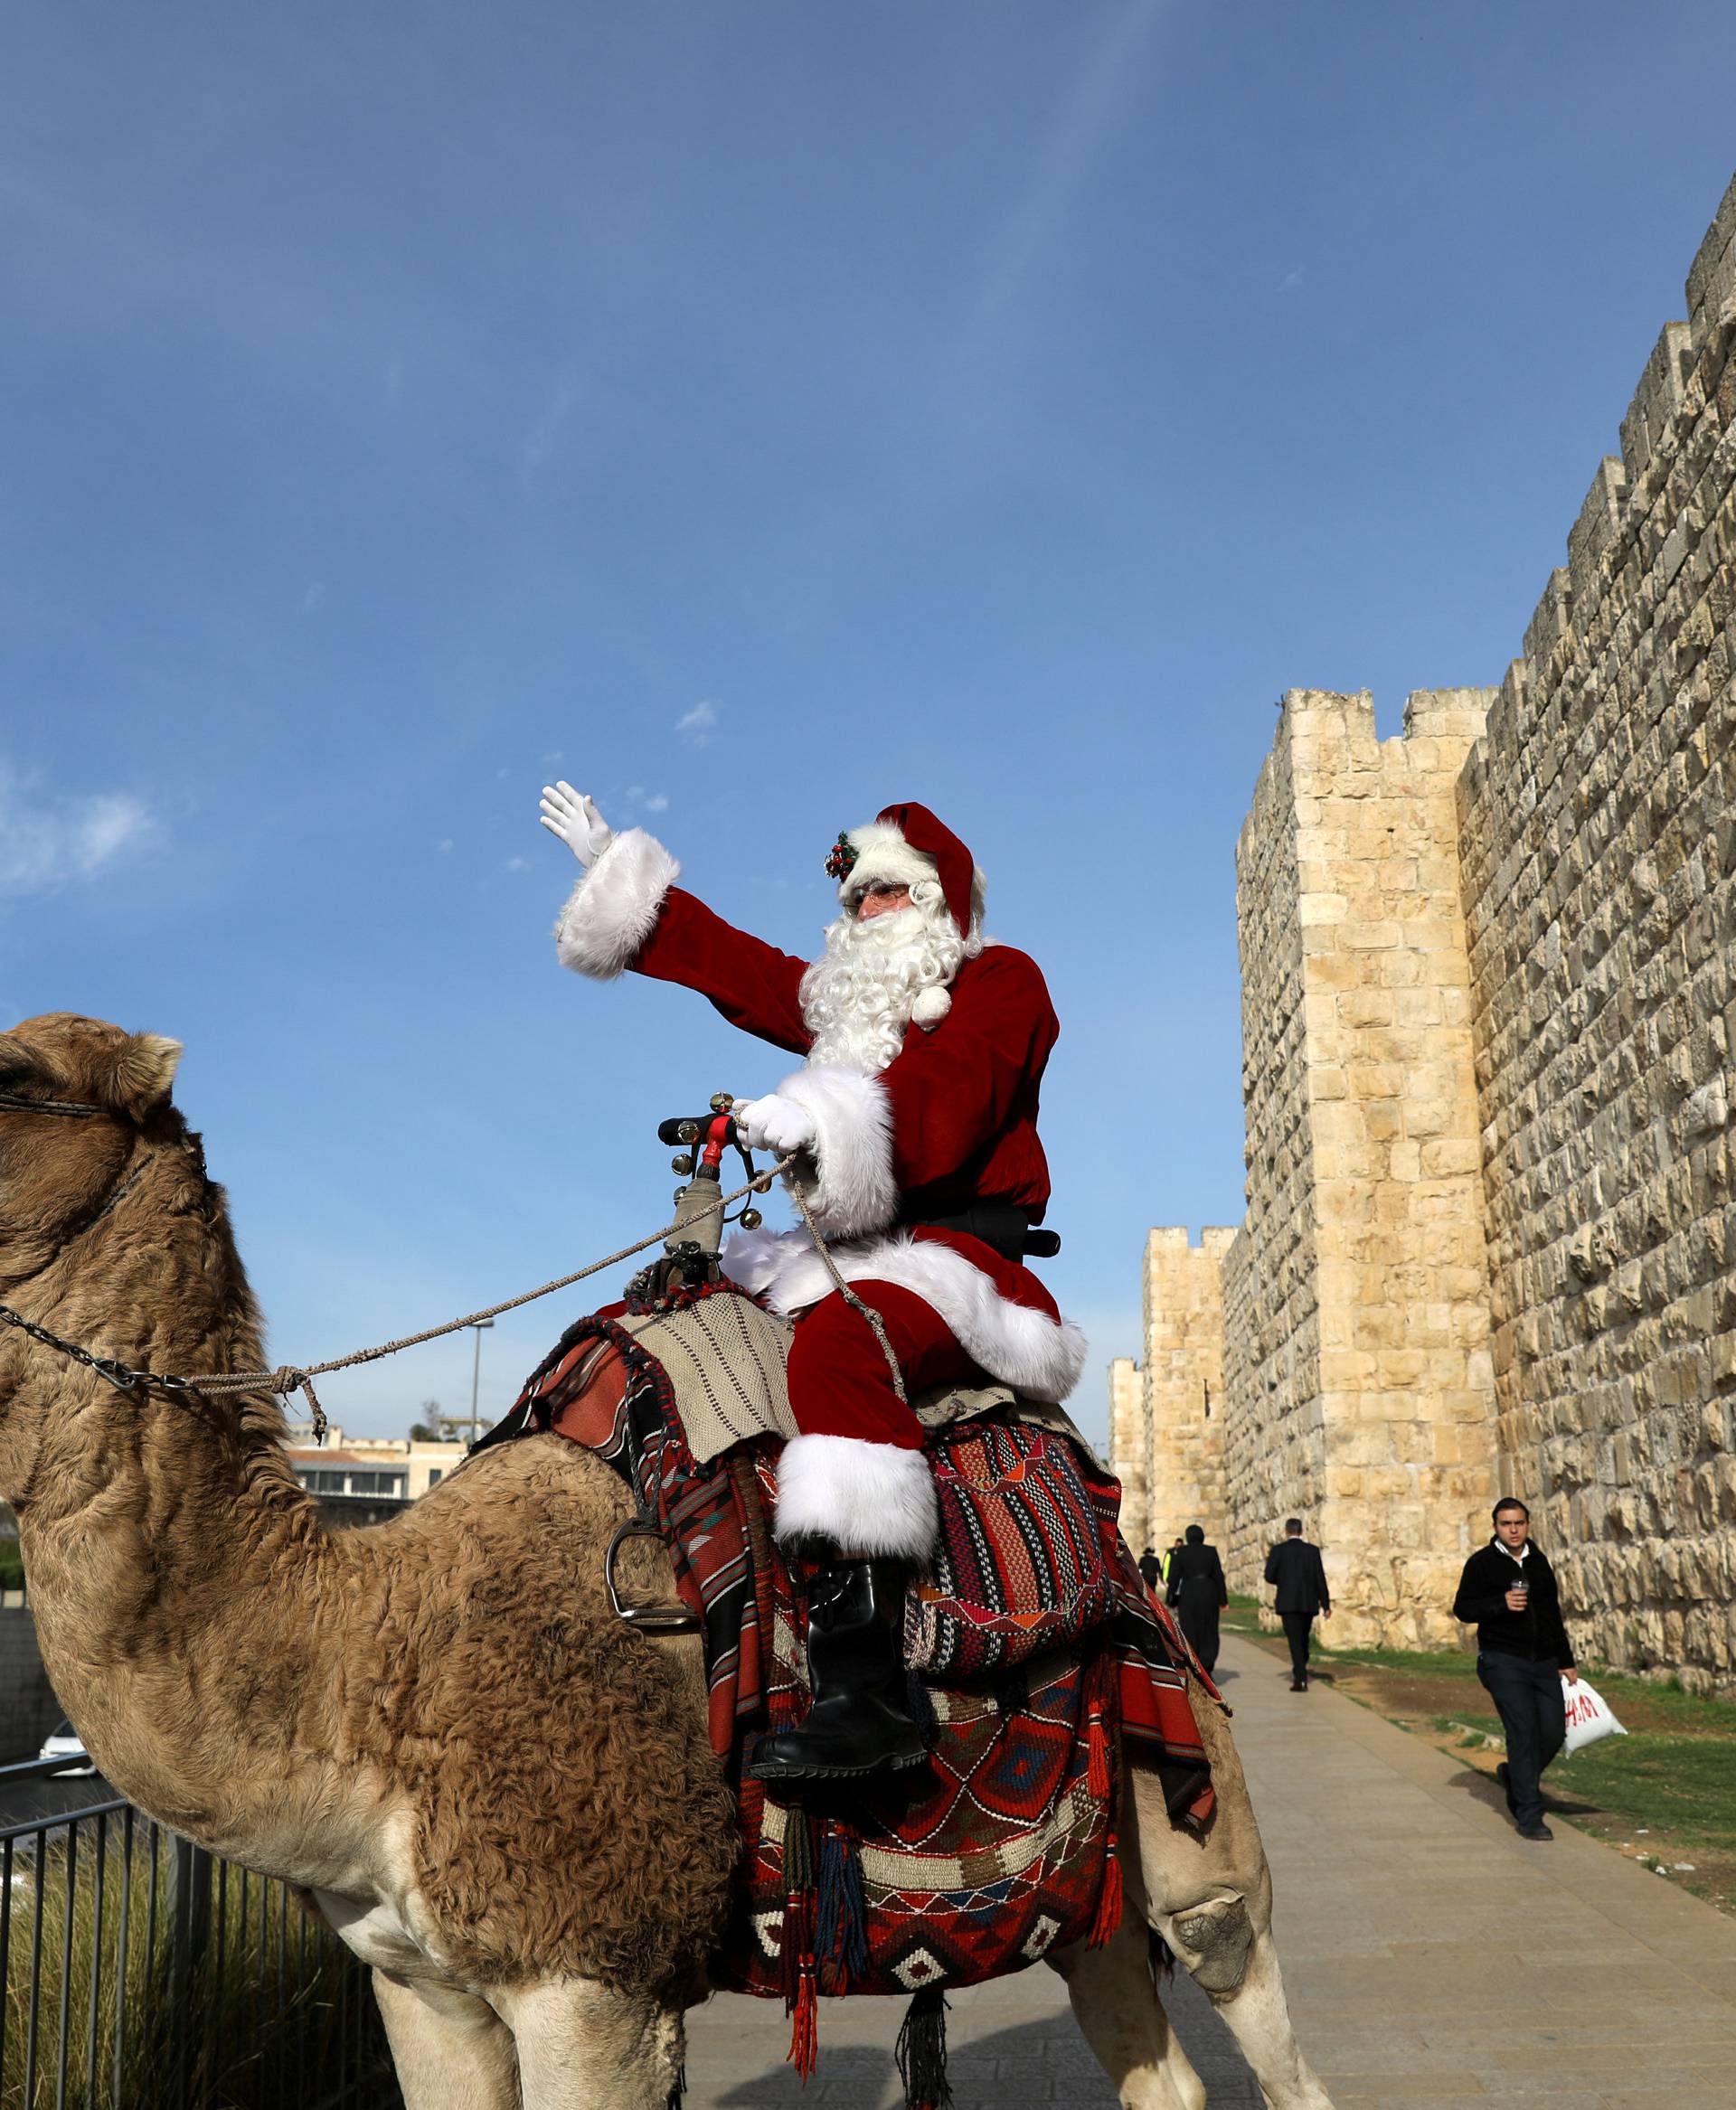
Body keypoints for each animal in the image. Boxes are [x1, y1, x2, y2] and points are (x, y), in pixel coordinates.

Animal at [0, 1013, 1333, 2101]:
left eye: (16, 1074)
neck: (370, 1656)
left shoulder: (598, 1976)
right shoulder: (419, 1983)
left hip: (1196, 1826)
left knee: (1252, 1994)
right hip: (1085, 1891)